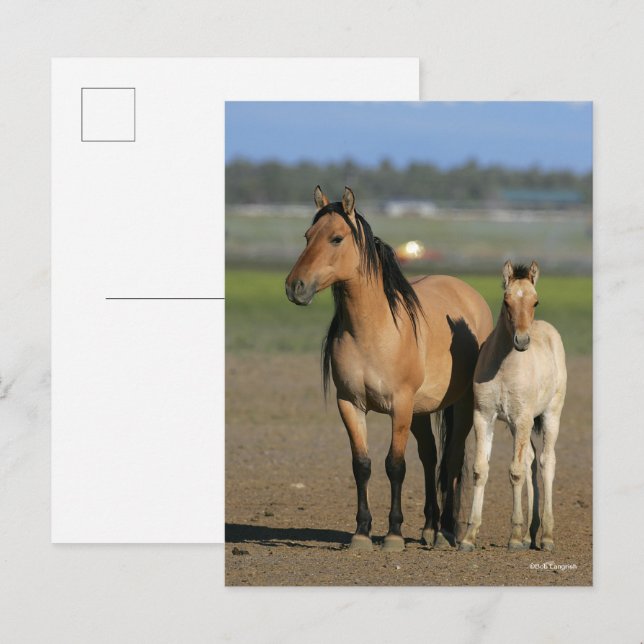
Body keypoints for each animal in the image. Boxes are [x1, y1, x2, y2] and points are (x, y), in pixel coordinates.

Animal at [285, 186, 493, 551]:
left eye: (336, 238)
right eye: (308, 236)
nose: (294, 286)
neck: (374, 330)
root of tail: (469, 295)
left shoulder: (400, 405)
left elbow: (395, 465)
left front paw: (394, 534)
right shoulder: (350, 404)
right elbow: (362, 465)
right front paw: (362, 532)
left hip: (462, 405)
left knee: (452, 459)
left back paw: (447, 532)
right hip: (421, 411)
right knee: (430, 457)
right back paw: (429, 528)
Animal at [459, 261, 567, 553]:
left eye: (535, 301)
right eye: (507, 302)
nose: (522, 341)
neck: (504, 369)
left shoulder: (523, 418)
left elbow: (515, 472)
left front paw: (515, 537)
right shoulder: (483, 417)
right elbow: (480, 470)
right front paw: (469, 537)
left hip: (550, 415)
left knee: (547, 461)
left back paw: (547, 536)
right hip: (515, 425)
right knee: (530, 458)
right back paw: (532, 534)